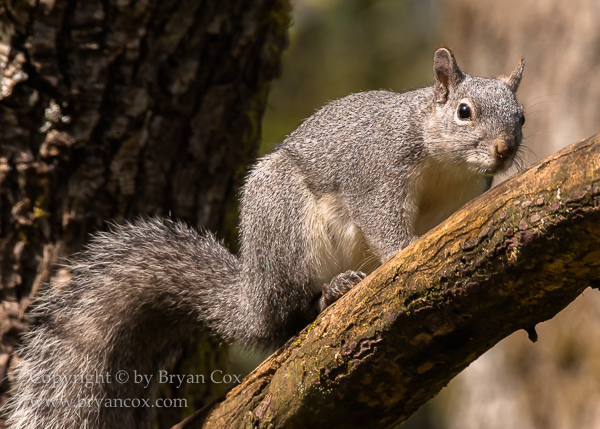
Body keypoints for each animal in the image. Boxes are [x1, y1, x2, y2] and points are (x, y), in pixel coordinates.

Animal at [4, 47, 524, 428]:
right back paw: (330, 293)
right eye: (464, 112)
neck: (446, 164)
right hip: (287, 226)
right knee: (290, 318)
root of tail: (256, 294)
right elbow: (381, 220)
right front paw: (403, 252)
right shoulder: (375, 174)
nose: (505, 150)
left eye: (520, 117)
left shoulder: (460, 201)